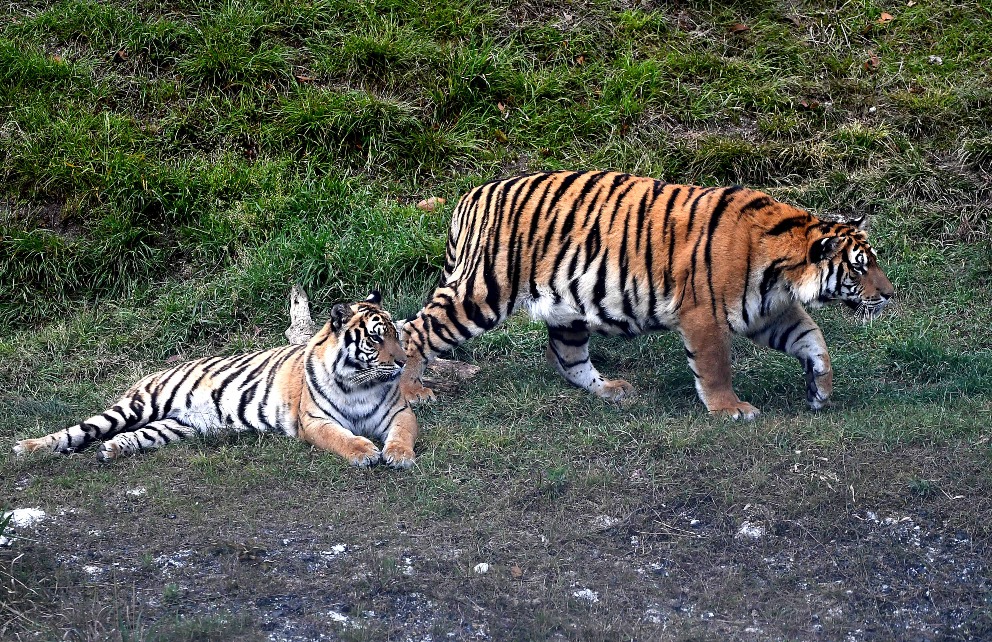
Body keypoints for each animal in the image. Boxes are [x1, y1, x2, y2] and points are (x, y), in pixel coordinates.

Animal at [11, 294, 416, 464]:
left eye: (396, 334)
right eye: (375, 337)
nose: (401, 361)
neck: (359, 382)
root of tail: (153, 371)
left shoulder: (399, 412)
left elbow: (402, 434)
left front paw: (398, 456)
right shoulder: (316, 421)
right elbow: (341, 437)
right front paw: (364, 452)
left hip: (175, 427)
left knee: (130, 437)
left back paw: (112, 450)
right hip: (136, 407)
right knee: (78, 430)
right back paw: (27, 448)